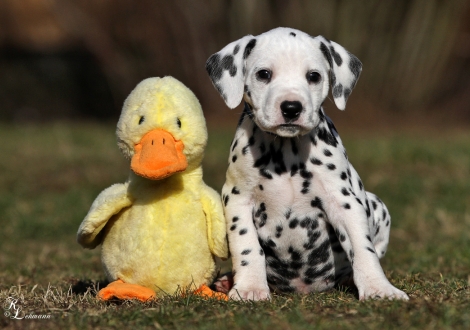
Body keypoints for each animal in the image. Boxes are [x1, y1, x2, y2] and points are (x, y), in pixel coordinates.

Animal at [206, 27, 408, 302]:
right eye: (264, 74)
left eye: (313, 76)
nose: (291, 108)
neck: (285, 152)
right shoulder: (238, 198)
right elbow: (247, 246)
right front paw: (249, 287)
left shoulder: (343, 200)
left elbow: (363, 248)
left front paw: (379, 288)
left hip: (377, 204)